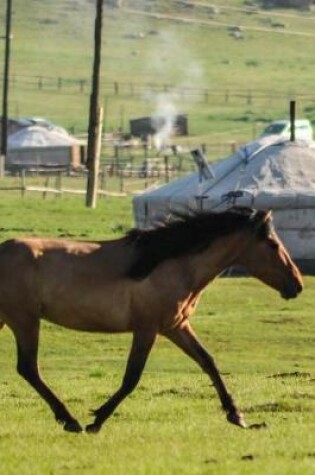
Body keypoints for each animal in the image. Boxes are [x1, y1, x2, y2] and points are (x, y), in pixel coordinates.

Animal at [0, 206, 304, 434]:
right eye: (273, 244)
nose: (297, 285)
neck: (171, 264)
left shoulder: (176, 327)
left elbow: (209, 362)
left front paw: (237, 415)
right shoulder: (147, 328)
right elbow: (132, 377)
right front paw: (97, 420)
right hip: (25, 320)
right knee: (29, 368)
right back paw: (70, 420)